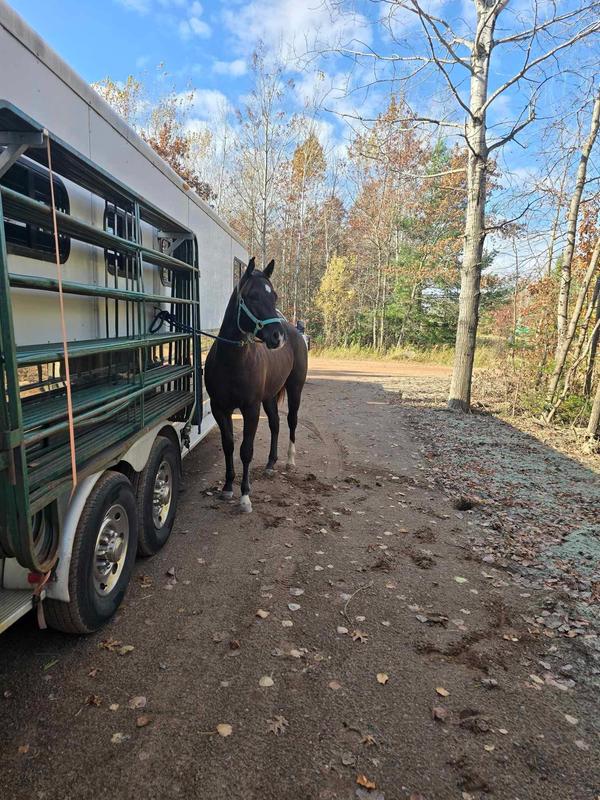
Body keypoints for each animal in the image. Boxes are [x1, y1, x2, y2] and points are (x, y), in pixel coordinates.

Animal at [204, 257, 308, 513]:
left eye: (275, 296)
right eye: (252, 296)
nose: (278, 337)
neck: (232, 363)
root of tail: (295, 331)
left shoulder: (250, 409)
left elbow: (246, 451)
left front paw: (245, 496)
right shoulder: (220, 409)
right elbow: (229, 446)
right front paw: (227, 488)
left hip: (295, 389)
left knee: (291, 421)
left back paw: (290, 460)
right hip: (269, 396)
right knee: (275, 424)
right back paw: (271, 464)